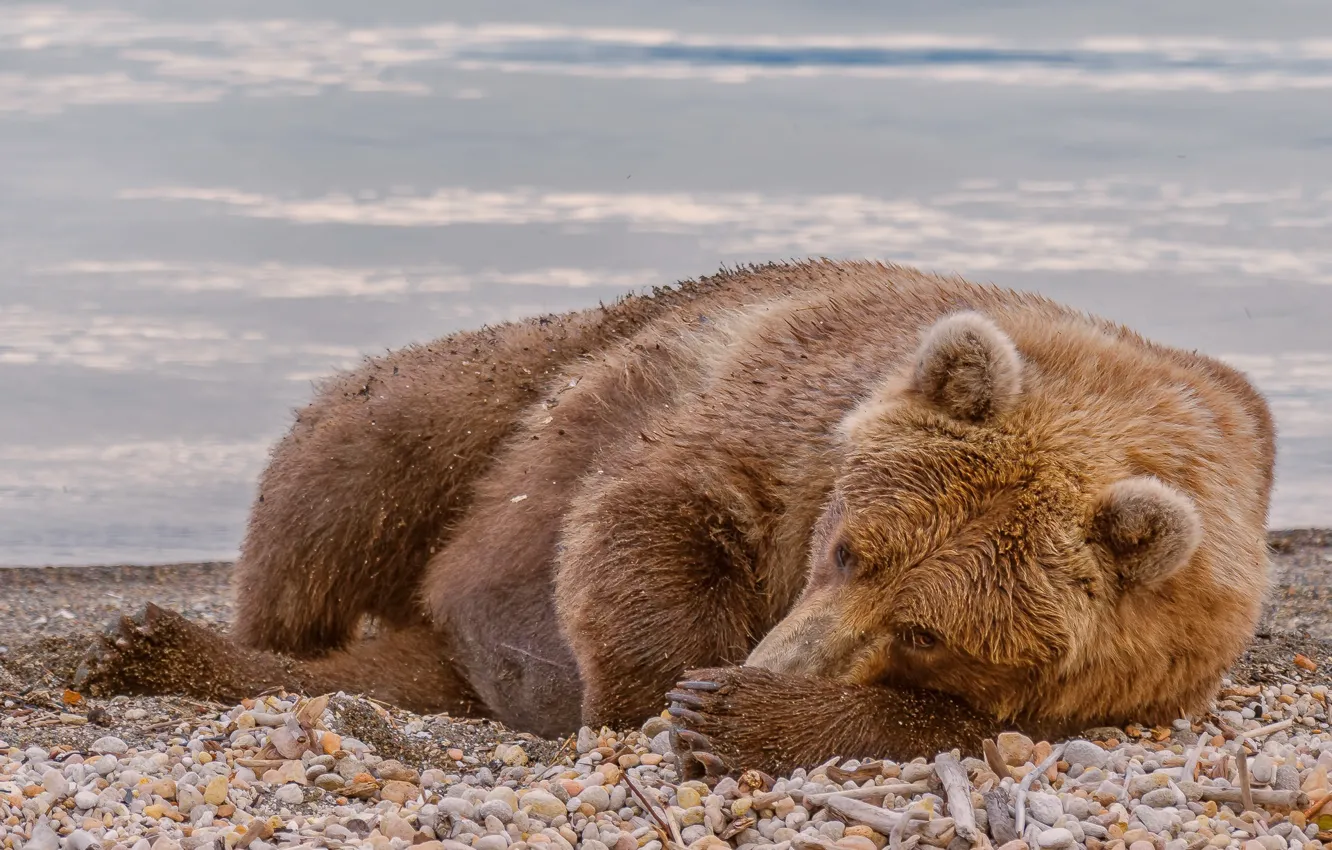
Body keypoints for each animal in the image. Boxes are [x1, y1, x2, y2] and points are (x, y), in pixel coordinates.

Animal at [75, 261, 1278, 788]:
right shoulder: (779, 411)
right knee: (341, 482)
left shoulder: (1139, 674)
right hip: (507, 391)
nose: (775, 655)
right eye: (849, 545)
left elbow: (958, 724)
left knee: (387, 672)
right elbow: (655, 510)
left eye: (931, 629)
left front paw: (731, 714)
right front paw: (673, 695)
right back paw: (156, 642)